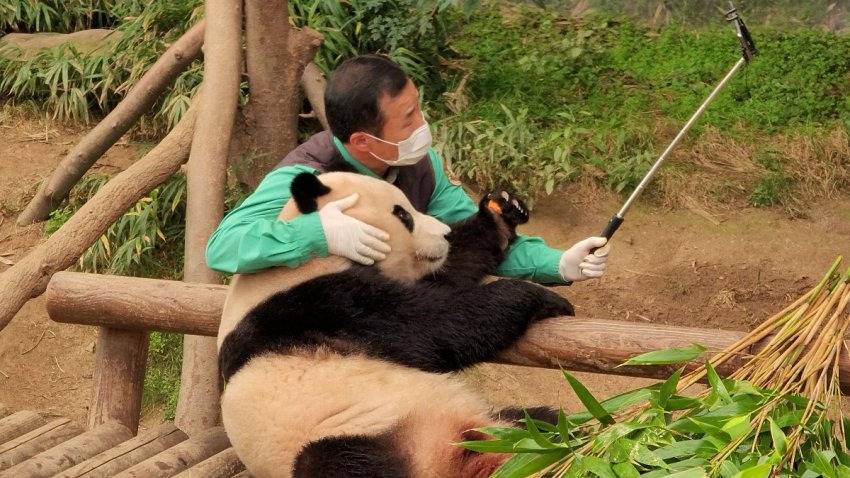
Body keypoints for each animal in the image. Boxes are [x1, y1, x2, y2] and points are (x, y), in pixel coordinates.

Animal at [219, 172, 572, 478]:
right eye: (403, 215)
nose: (444, 234)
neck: (318, 252)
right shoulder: (317, 304)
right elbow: (433, 324)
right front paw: (538, 296)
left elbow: (451, 273)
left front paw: (502, 212)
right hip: (342, 434)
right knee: (339, 463)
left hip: (501, 424)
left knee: (546, 422)